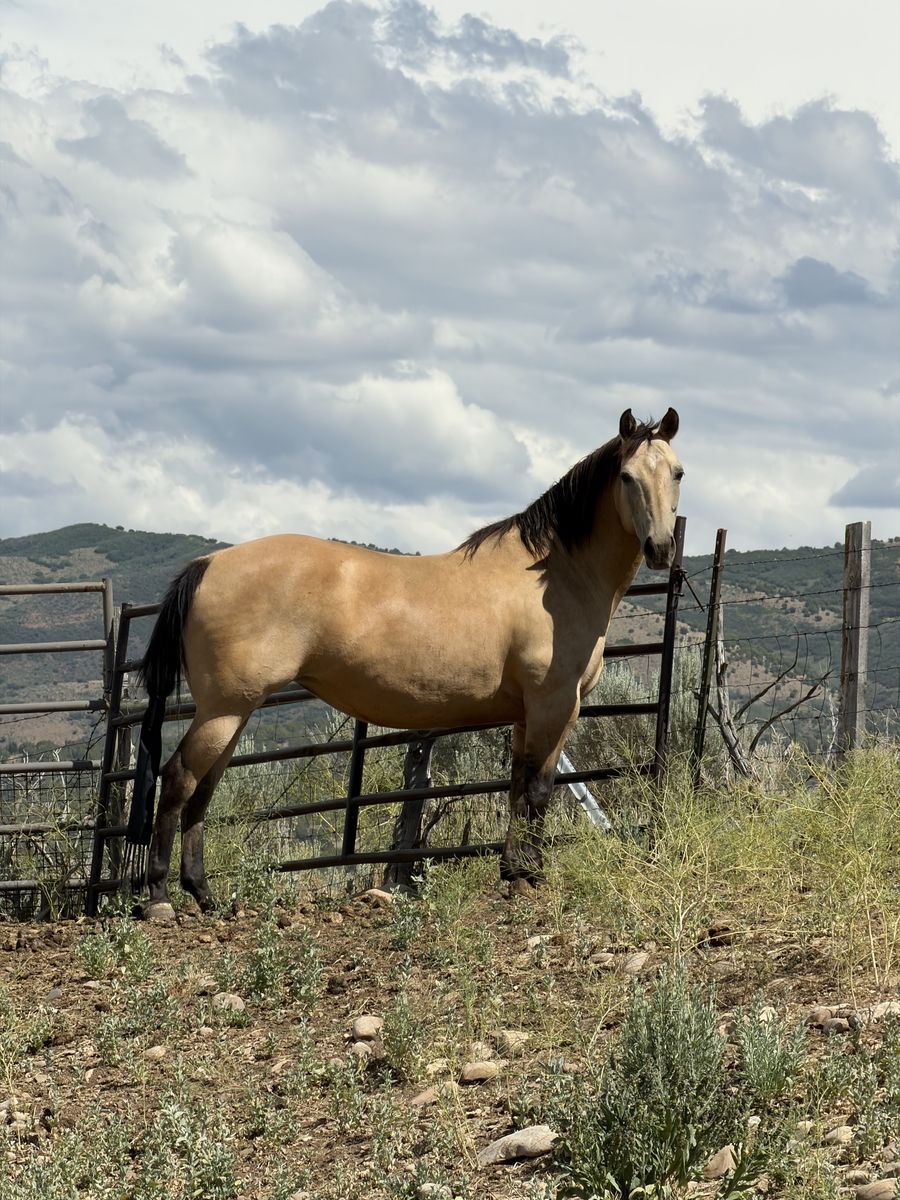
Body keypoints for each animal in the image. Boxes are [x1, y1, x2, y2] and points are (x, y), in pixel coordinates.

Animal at [129, 408, 683, 917]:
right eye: (627, 477)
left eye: (677, 472)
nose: (660, 548)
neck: (553, 576)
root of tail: (208, 565)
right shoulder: (555, 705)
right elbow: (540, 790)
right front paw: (531, 877)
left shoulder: (528, 714)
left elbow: (516, 788)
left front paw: (513, 872)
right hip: (223, 710)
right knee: (178, 781)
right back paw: (159, 899)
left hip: (232, 711)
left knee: (202, 792)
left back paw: (204, 896)